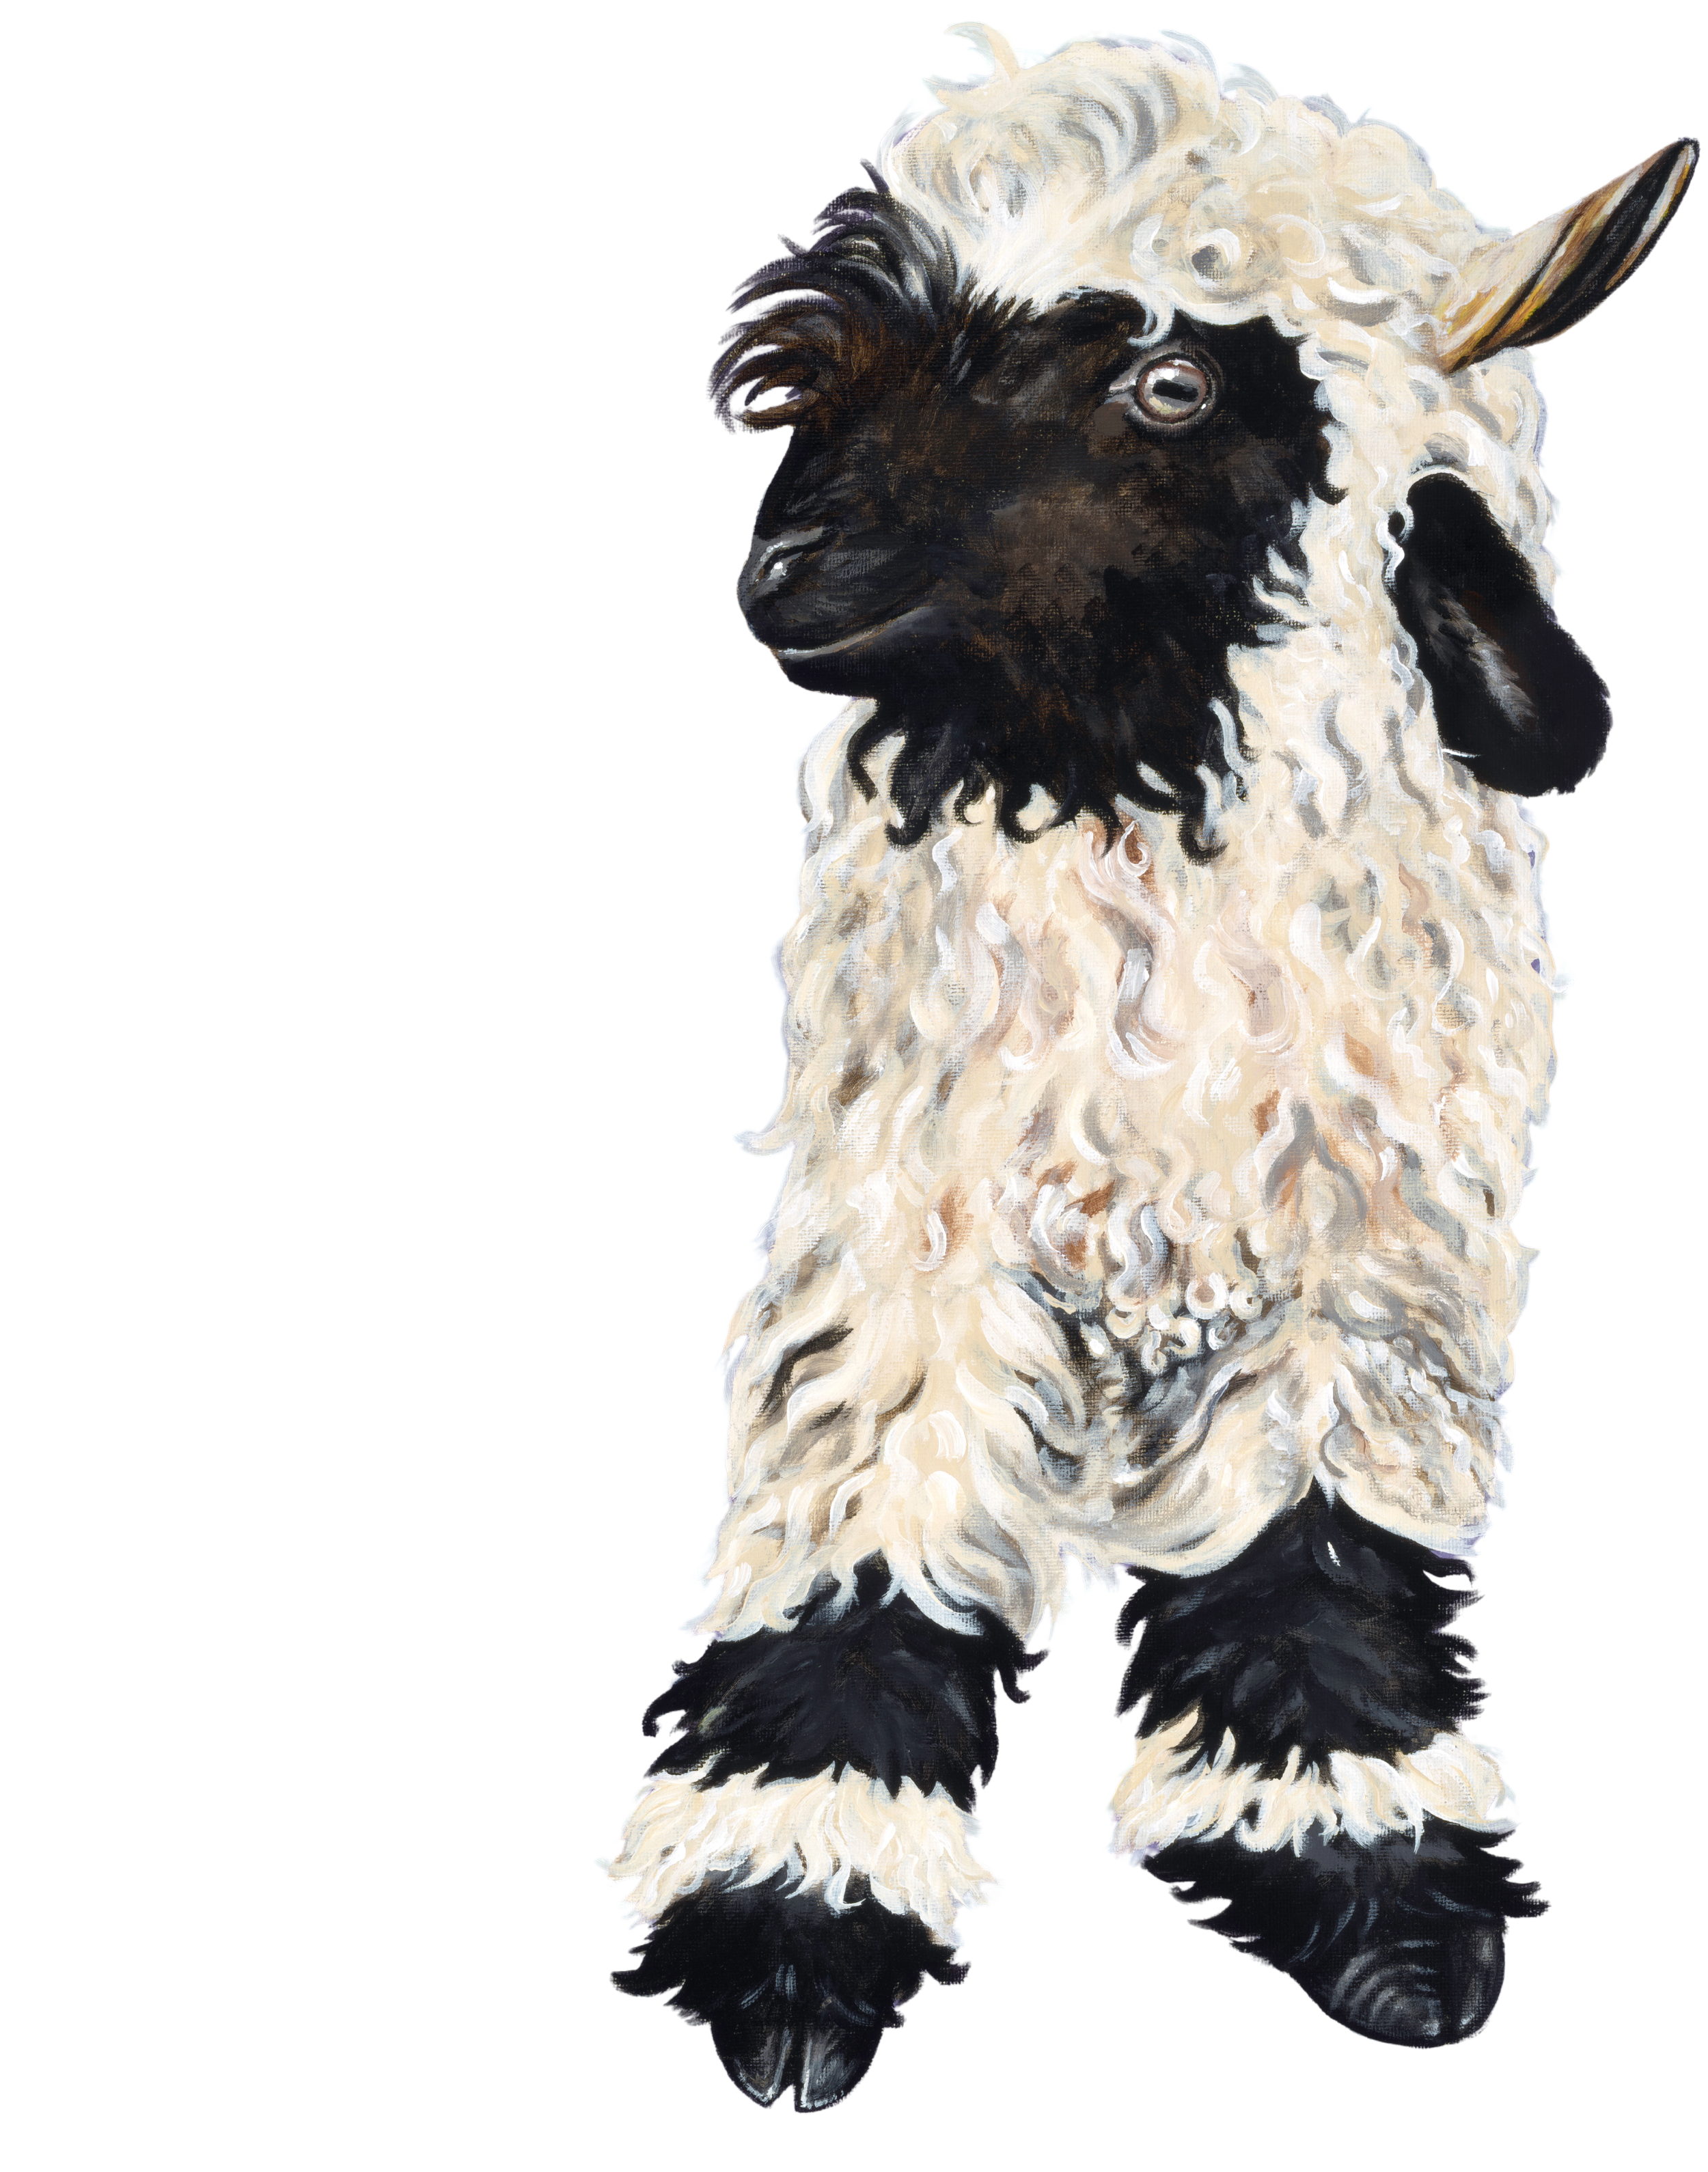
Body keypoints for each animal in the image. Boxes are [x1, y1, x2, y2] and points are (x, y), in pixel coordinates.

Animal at [596, 24, 1698, 2108]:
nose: (790, 575)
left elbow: (1316, 1544)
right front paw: (791, 1921)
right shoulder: (906, 1213)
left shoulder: (1359, 1242)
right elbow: (865, 1515)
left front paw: (1371, 1877)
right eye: (845, 368)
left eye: (1171, 383)